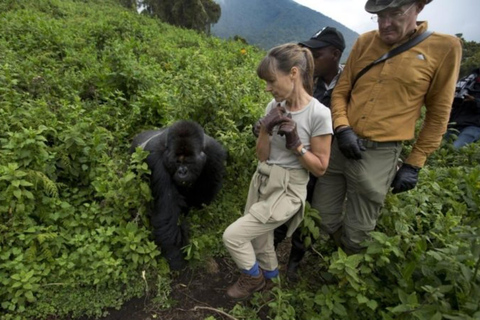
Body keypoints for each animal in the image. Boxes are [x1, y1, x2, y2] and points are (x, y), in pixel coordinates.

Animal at [130, 120, 228, 270]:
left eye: (188, 161)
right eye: (177, 162)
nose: (182, 172)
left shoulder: (215, 153)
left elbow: (204, 197)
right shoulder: (155, 158)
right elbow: (168, 211)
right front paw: (175, 255)